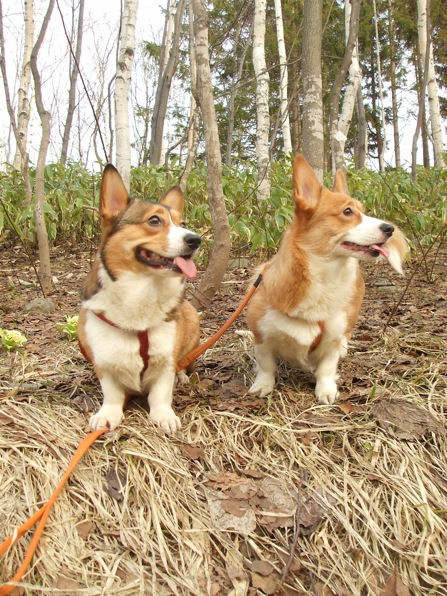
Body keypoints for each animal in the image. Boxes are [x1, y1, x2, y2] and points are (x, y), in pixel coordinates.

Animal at [78, 164, 201, 433]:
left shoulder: (165, 360)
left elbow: (161, 393)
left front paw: (164, 416)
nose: (196, 240)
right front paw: (107, 415)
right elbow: (112, 393)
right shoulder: (103, 363)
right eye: (154, 220)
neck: (143, 290)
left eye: (183, 223)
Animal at [246, 155, 407, 404]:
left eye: (363, 210)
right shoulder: (262, 335)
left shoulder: (332, 336)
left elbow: (326, 368)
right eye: (348, 212)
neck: (323, 275)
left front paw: (326, 390)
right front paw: (263, 385)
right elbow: (266, 365)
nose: (389, 228)